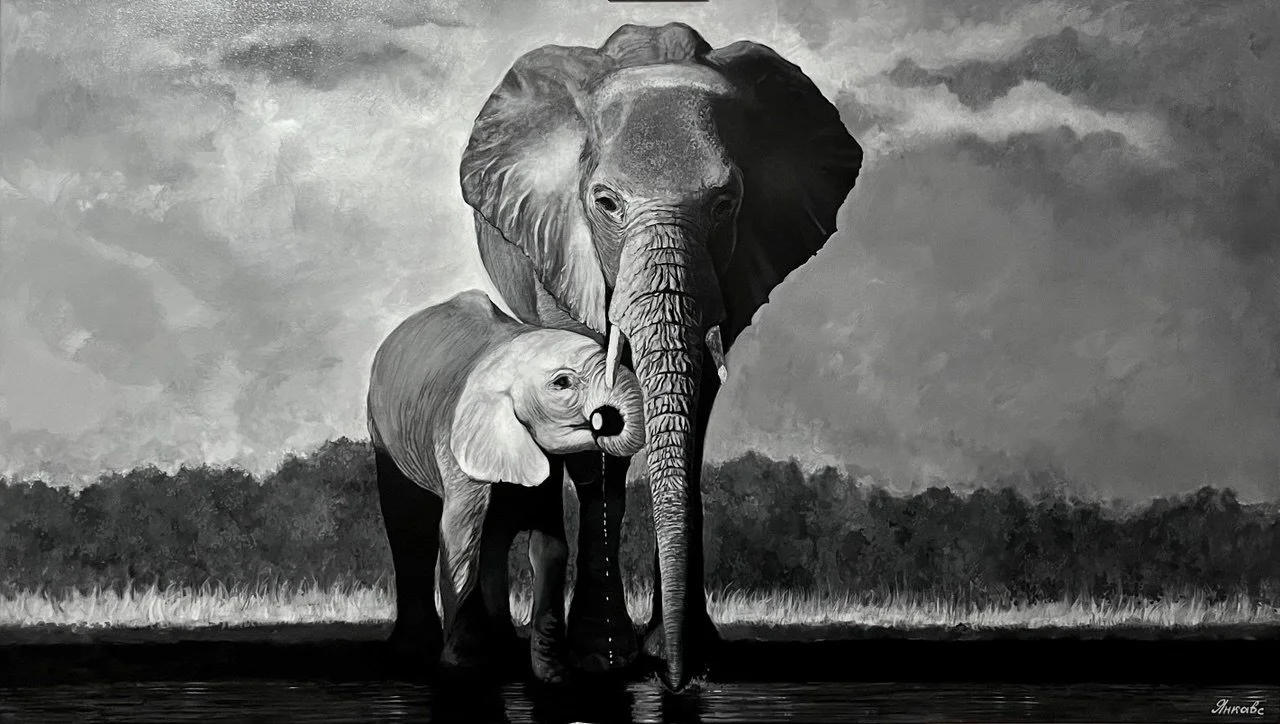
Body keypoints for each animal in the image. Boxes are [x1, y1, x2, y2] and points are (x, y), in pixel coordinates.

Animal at [367, 289, 646, 682]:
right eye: (562, 383)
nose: (602, 420)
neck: (510, 349)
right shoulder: (455, 442)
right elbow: (461, 536)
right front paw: (465, 669)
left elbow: (549, 546)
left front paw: (552, 675)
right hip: (383, 433)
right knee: (409, 527)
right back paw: (412, 654)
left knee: (493, 540)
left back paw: (502, 647)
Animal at [458, 23, 864, 690]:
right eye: (606, 203)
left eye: (726, 203)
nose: (675, 682)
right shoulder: (560, 248)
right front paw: (601, 658)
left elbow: (695, 412)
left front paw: (694, 654)